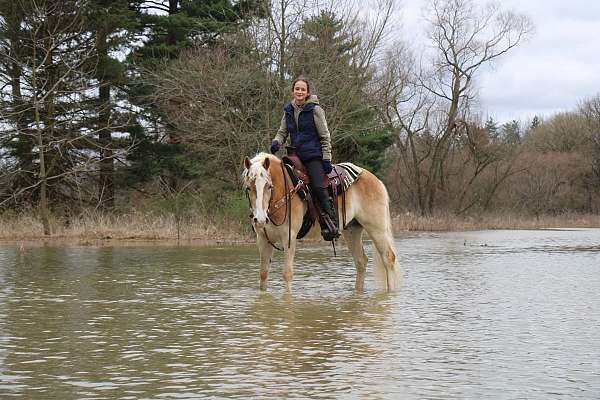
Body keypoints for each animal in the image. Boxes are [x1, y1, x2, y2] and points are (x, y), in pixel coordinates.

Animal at [241, 152, 400, 292]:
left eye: (269, 186)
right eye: (249, 188)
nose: (260, 219)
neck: (283, 192)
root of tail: (375, 180)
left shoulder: (289, 238)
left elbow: (287, 274)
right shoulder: (263, 240)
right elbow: (263, 274)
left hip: (377, 229)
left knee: (388, 259)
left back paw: (391, 292)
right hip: (352, 230)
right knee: (361, 262)